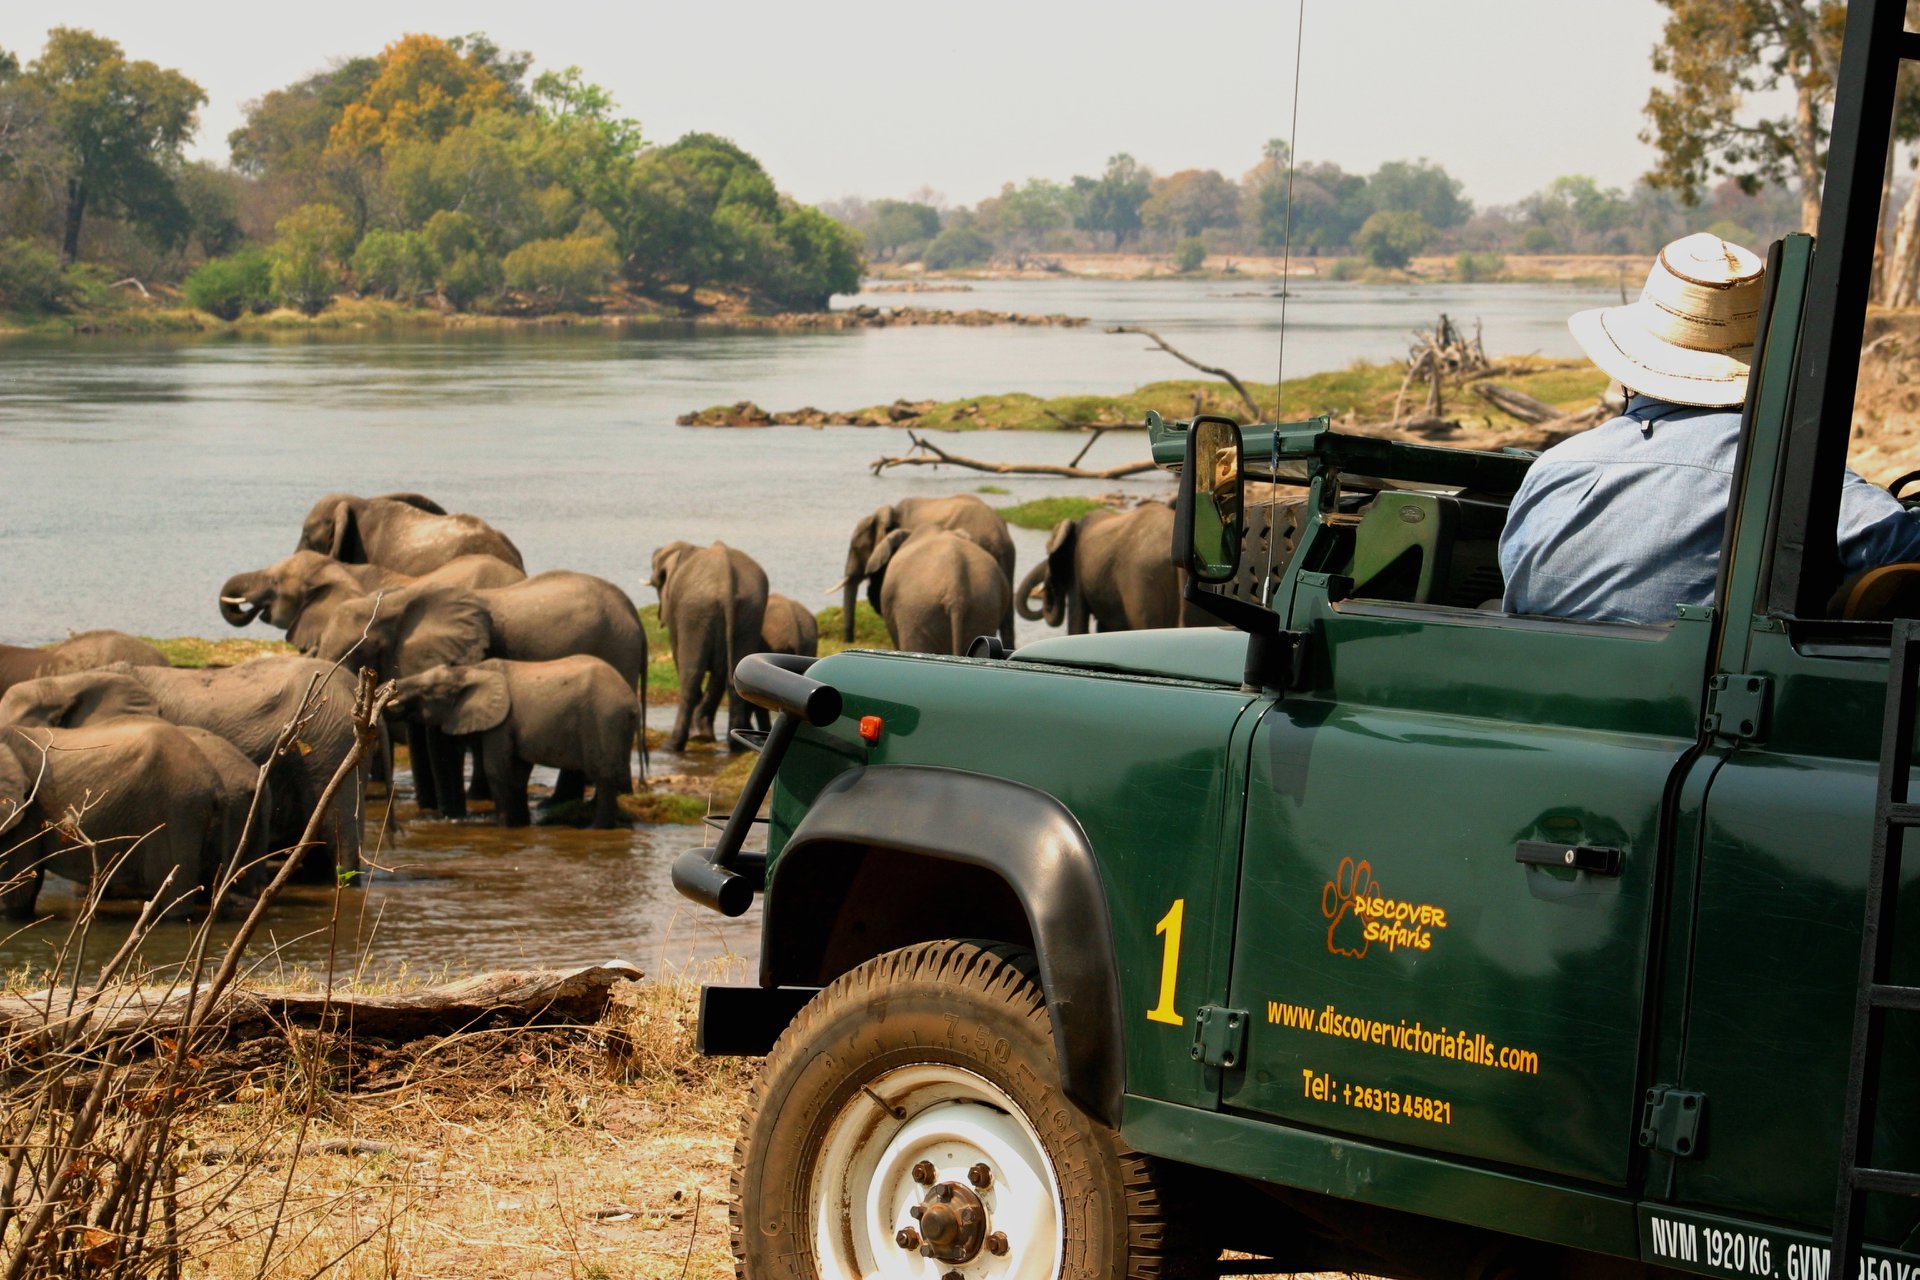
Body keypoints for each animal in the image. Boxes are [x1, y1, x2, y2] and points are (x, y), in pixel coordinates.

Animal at [390, 657, 639, 828]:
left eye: (425, 691)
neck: (471, 670)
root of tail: (631, 701)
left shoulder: (501, 724)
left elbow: (497, 769)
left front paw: (504, 827)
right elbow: (517, 773)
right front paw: (521, 825)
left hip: (603, 720)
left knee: (603, 775)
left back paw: (595, 828)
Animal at [650, 541, 769, 753]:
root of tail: (727, 579)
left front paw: (700, 733)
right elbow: (720, 673)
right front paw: (704, 732)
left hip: (695, 613)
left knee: (690, 675)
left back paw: (671, 746)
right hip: (750, 613)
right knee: (734, 672)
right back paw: (736, 745)